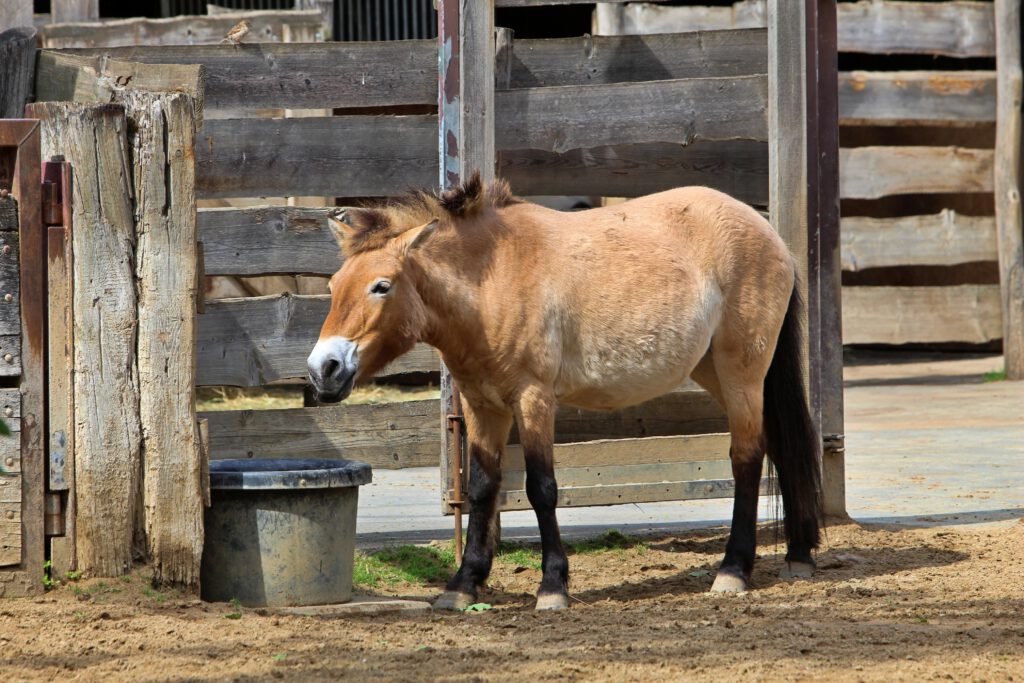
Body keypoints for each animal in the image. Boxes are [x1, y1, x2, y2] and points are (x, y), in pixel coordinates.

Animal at [307, 174, 819, 610]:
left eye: (381, 286)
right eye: (334, 285)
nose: (323, 369)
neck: (493, 279)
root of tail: (768, 232)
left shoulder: (533, 399)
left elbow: (542, 488)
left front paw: (552, 586)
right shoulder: (482, 406)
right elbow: (481, 488)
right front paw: (463, 584)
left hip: (740, 374)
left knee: (747, 458)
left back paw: (733, 570)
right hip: (720, 372)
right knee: (778, 447)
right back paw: (799, 555)